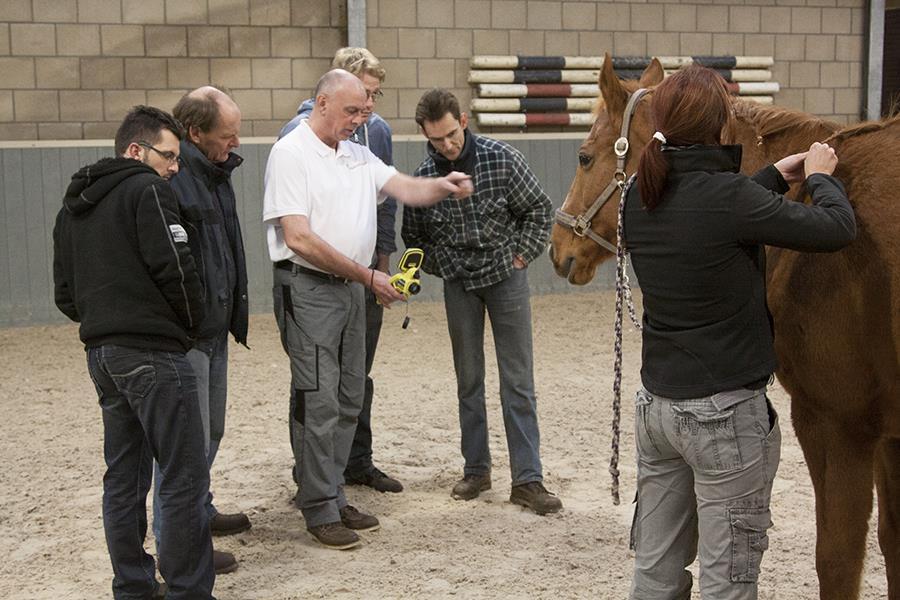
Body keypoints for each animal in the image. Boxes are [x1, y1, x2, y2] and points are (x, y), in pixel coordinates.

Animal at [548, 54, 900, 596]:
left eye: (585, 157)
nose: (557, 247)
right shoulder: (887, 436)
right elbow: (893, 544)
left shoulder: (838, 424)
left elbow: (839, 558)